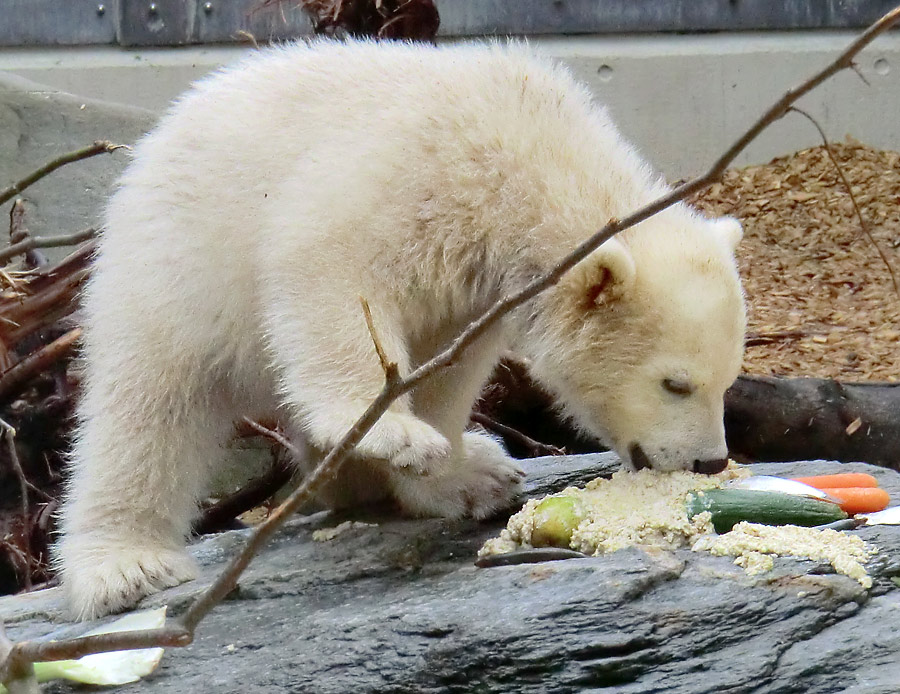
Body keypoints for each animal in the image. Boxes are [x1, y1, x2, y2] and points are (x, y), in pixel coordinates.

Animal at [58, 40, 744, 624]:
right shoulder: (402, 183)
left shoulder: (473, 282)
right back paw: (125, 565)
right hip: (172, 272)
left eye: (728, 382)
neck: (522, 142)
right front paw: (394, 433)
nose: (710, 461)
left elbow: (448, 364)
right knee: (150, 411)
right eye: (675, 383)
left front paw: (458, 478)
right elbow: (329, 274)